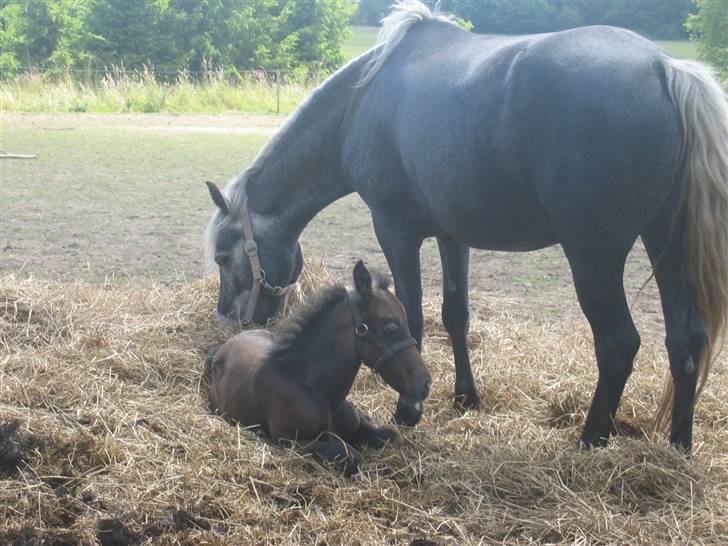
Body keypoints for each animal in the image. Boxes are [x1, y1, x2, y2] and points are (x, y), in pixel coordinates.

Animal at [205, 1, 728, 450]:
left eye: (222, 255)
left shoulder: (394, 229)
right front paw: (464, 398)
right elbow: (455, 314)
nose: (229, 318)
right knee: (685, 339)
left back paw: (591, 439)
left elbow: (413, 313)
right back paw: (678, 447)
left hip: (594, 257)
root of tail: (664, 68)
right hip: (666, 245)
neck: (361, 104)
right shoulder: (452, 236)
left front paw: (409, 408)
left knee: (619, 342)